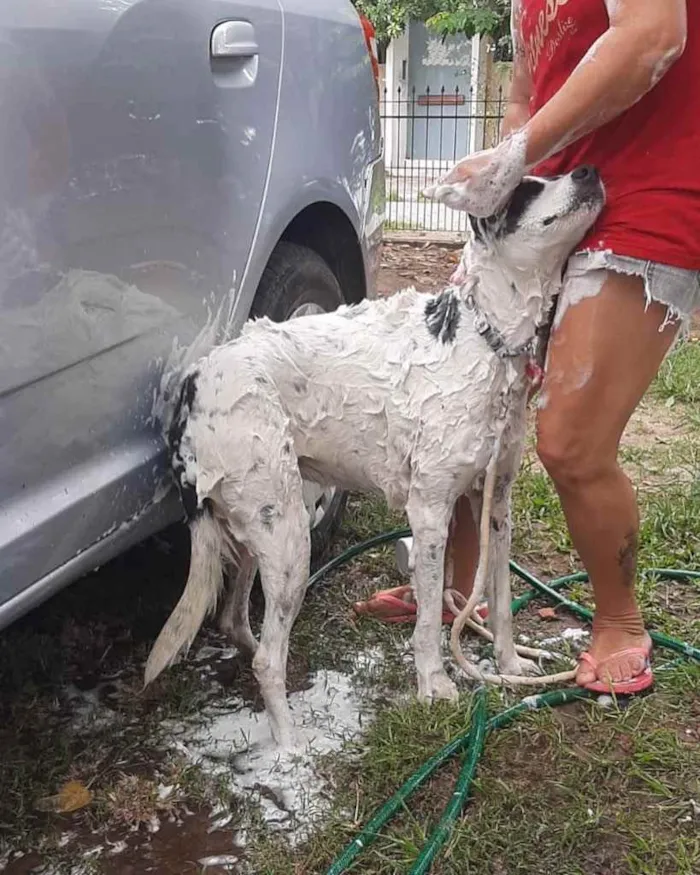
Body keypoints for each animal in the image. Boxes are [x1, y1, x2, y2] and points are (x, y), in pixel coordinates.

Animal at [145, 168, 604, 748]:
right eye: (525, 189)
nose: (589, 171)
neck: (486, 341)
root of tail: (195, 381)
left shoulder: (496, 505)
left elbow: (499, 602)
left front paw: (508, 667)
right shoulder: (429, 510)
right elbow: (429, 616)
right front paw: (434, 684)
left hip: (265, 524)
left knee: (238, 622)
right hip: (289, 535)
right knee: (268, 659)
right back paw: (290, 748)